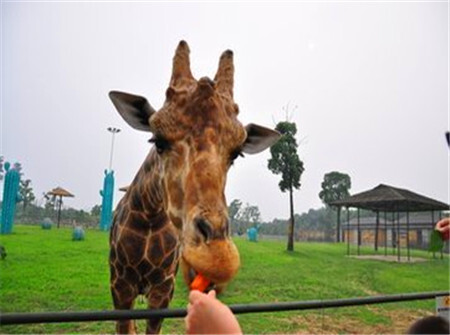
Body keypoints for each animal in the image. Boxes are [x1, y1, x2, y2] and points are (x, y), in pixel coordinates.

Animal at [107, 40, 280, 334]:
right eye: (158, 141)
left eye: (236, 154)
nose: (217, 258)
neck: (150, 217)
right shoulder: (120, 286)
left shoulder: (163, 289)